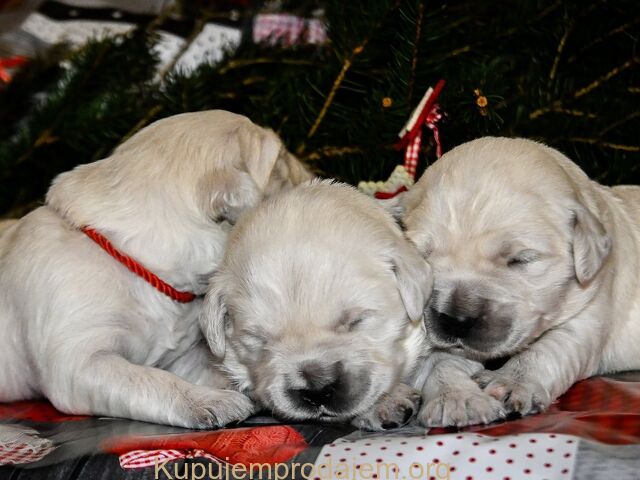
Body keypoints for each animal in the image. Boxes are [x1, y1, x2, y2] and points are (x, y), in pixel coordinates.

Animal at [0, 110, 312, 430]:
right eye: (281, 160)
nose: (313, 175)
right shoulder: (79, 361)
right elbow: (148, 378)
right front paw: (211, 400)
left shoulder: (180, 356)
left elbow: (210, 369)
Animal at [401, 136, 640, 425]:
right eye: (424, 255)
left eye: (520, 259)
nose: (456, 320)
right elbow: (439, 362)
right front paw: (456, 399)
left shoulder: (590, 311)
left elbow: (546, 349)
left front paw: (511, 383)